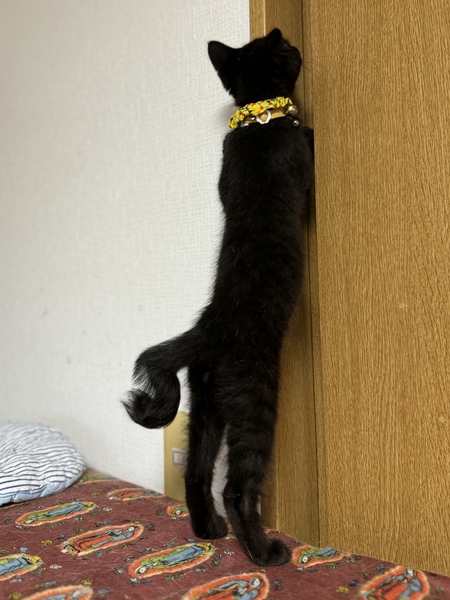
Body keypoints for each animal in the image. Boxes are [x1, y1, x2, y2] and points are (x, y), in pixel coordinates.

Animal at [124, 28, 314, 567]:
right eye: (286, 47)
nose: (296, 45)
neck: (256, 121)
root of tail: (207, 327)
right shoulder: (300, 166)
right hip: (253, 397)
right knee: (236, 486)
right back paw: (264, 551)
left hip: (207, 402)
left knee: (196, 469)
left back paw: (208, 529)